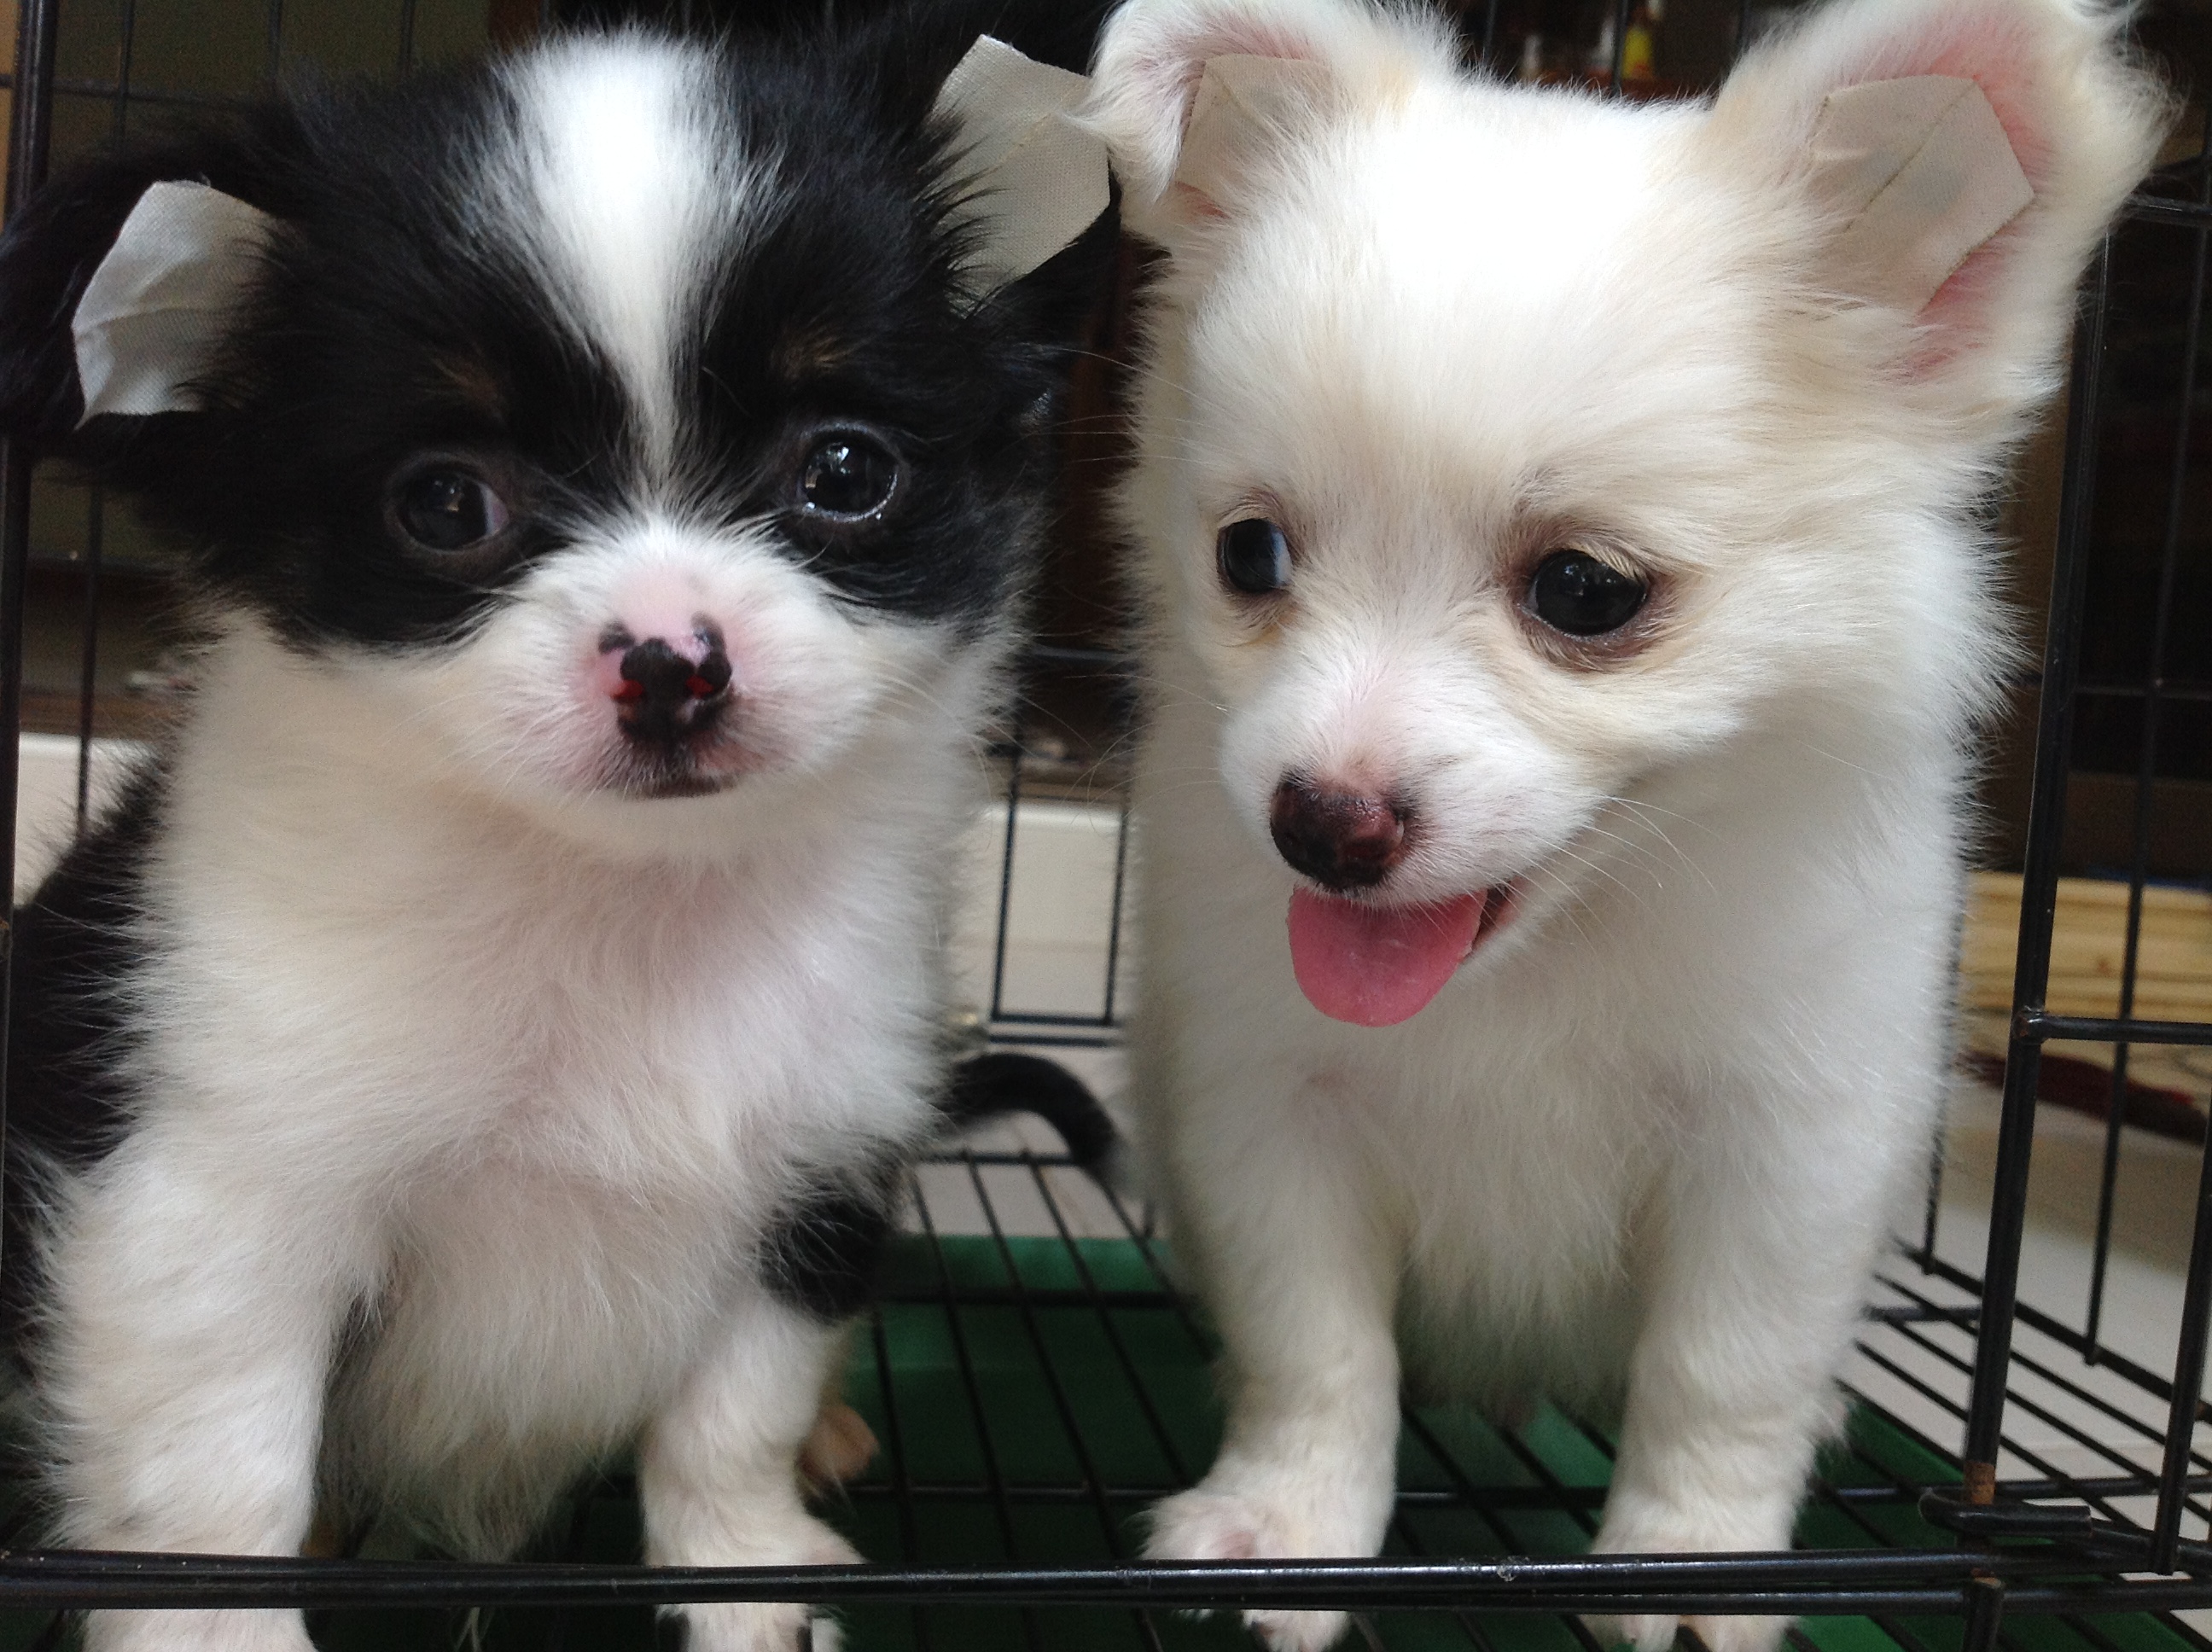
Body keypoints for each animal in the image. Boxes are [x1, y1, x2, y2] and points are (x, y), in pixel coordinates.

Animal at [0, 11, 1114, 1651]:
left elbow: (730, 1418)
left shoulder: (814, 1181)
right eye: (445, 503)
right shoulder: (210, 1202)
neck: (623, 903)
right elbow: (213, 1492)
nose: (671, 661)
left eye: (846, 471)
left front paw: (745, 1580)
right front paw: (224, 1636)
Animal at [1083, 0, 2164, 1647]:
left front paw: (1691, 1568)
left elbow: (1723, 1376)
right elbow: (1316, 1349)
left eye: (1585, 591)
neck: (1547, 952)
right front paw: (1288, 1532)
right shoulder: (1271, 1112)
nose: (1323, 821)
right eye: (1248, 555)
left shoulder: (1784, 1147)